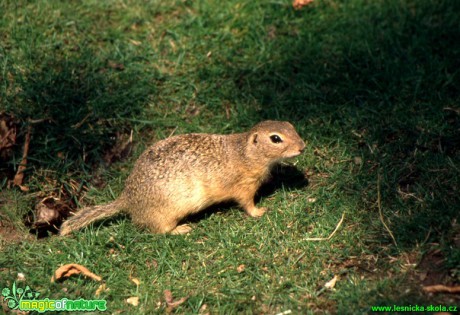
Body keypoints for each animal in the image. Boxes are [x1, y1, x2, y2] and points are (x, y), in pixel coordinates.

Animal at [60, 122, 306, 236]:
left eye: (291, 126)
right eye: (275, 138)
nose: (302, 146)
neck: (244, 153)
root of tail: (127, 199)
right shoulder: (244, 186)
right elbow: (247, 203)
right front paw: (259, 211)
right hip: (165, 214)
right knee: (160, 231)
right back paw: (181, 229)